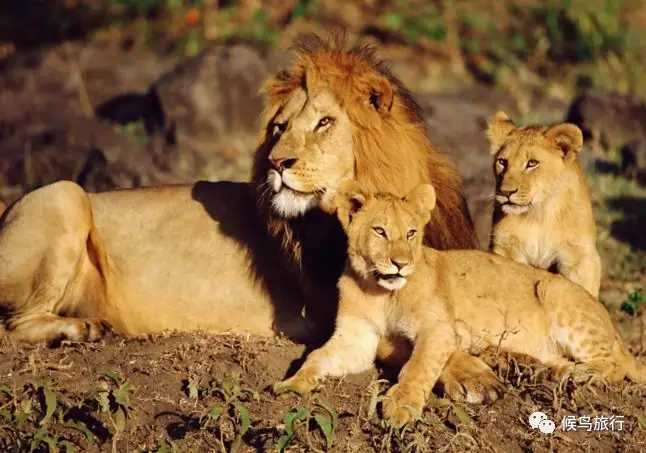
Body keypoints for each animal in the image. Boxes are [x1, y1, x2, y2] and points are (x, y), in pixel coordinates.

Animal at [276, 181, 646, 428]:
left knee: (612, 364)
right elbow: (317, 357)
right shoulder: (356, 338)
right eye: (379, 231)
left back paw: (579, 374)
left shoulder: (438, 328)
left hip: (555, 292)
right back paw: (548, 371)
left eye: (411, 233)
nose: (400, 264)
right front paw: (290, 384)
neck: (380, 291)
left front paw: (402, 406)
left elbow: (419, 366)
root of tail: (613, 327)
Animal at [492, 112, 604, 296]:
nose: (506, 192)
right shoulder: (505, 247)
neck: (539, 214)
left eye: (532, 163)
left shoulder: (580, 256)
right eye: (502, 162)